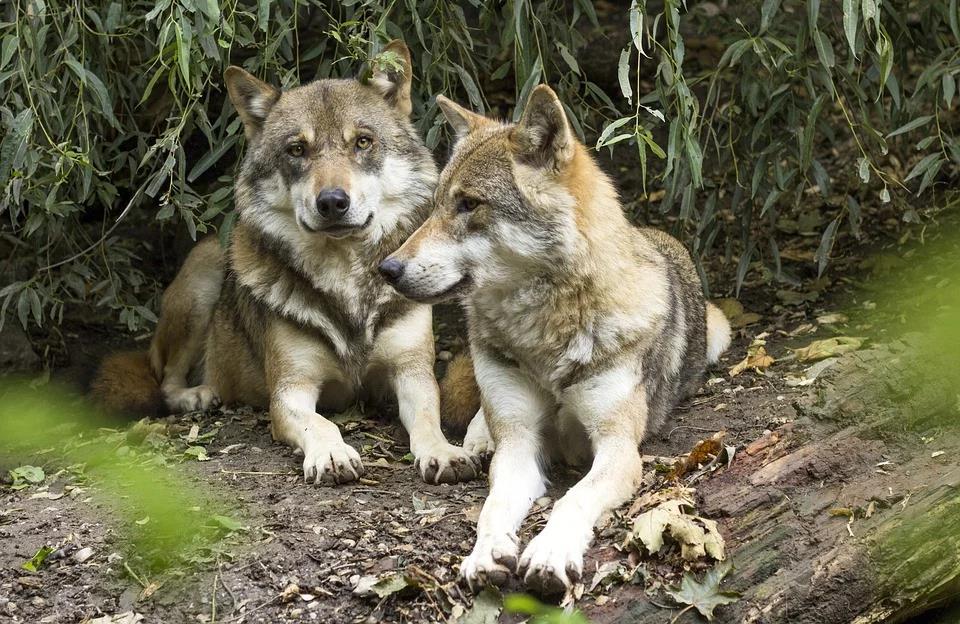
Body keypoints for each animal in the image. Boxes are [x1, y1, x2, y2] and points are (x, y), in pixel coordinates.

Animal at [93, 40, 480, 488]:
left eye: (363, 143)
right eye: (297, 150)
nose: (332, 202)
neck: (345, 279)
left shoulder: (412, 375)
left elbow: (428, 419)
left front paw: (444, 453)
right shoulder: (290, 391)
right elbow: (322, 424)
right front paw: (332, 454)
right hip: (204, 279)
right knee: (165, 380)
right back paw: (198, 394)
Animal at [378, 84, 732, 596]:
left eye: (469, 204)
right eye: (439, 203)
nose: (386, 269)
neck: (545, 336)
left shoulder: (618, 449)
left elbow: (574, 500)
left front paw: (549, 553)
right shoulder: (521, 444)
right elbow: (493, 507)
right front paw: (484, 554)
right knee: (483, 419)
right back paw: (478, 441)